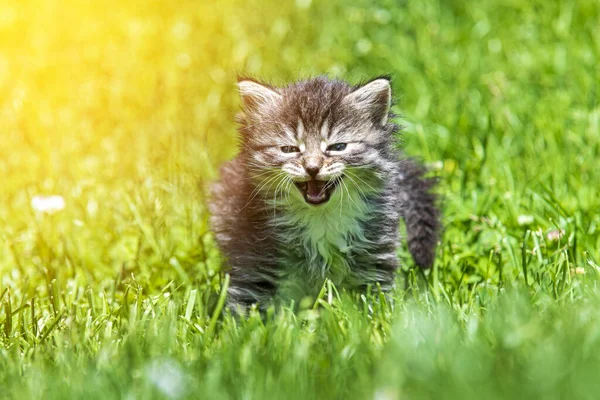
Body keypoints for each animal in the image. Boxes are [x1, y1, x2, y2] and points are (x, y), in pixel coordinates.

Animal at [211, 76, 440, 310]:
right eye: (290, 149)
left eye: (337, 147)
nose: (312, 167)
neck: (322, 216)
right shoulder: (254, 255)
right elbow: (248, 303)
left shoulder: (376, 251)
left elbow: (375, 298)